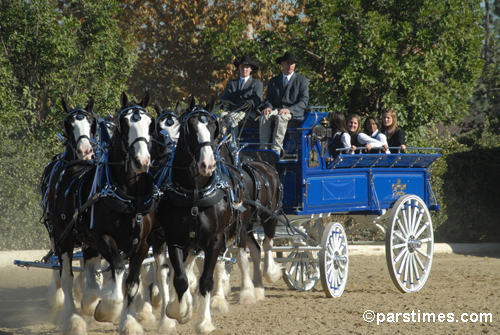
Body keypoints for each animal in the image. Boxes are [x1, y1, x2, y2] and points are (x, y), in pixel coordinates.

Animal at [48, 92, 158, 335]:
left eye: (150, 124)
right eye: (124, 124)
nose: (142, 161)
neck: (131, 195)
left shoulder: (143, 243)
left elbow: (132, 283)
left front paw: (129, 322)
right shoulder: (103, 237)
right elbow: (117, 267)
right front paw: (107, 309)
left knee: (89, 263)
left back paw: (89, 300)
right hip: (63, 236)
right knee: (67, 277)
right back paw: (73, 319)